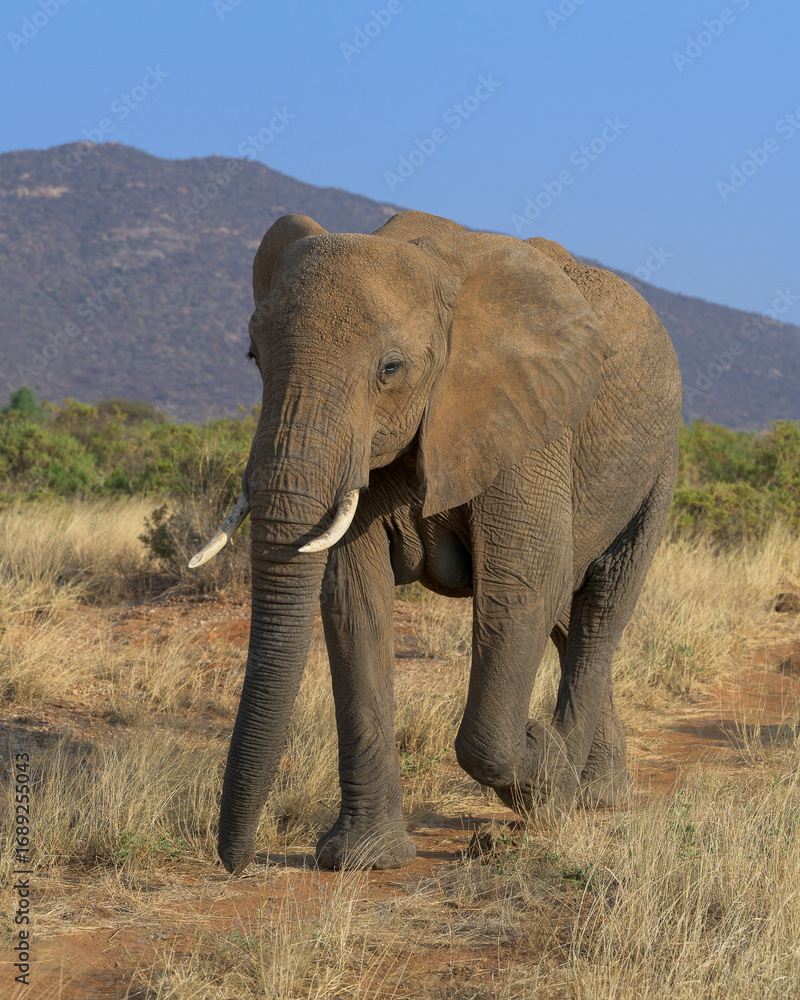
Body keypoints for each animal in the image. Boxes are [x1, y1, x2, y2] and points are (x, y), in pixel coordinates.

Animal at [190, 209, 682, 874]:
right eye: (253, 356)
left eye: (390, 368)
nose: (235, 862)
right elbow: (352, 597)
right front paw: (366, 860)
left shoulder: (523, 419)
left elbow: (521, 582)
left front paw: (545, 771)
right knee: (565, 614)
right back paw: (597, 791)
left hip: (659, 461)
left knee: (599, 605)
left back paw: (573, 790)